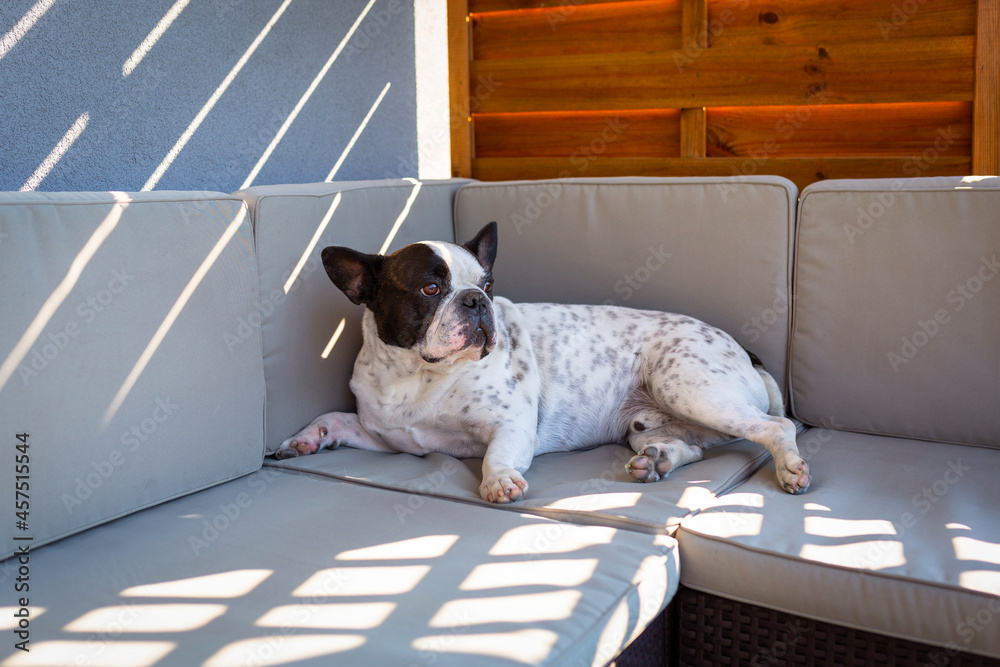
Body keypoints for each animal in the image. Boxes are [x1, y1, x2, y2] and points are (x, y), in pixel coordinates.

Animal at [276, 222, 812, 504]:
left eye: (488, 284)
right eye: (430, 288)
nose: (477, 300)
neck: (420, 376)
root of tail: (743, 350)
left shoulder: (510, 426)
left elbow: (495, 454)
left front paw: (497, 480)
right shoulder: (385, 437)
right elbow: (334, 417)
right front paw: (305, 438)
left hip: (688, 386)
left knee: (776, 427)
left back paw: (790, 469)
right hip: (649, 425)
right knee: (691, 448)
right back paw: (657, 461)